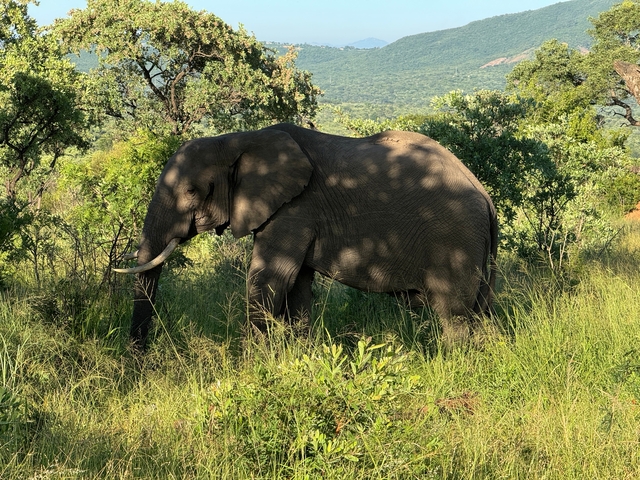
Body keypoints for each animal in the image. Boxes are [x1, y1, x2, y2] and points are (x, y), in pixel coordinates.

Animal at [115, 123, 498, 347]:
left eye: (192, 191)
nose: (139, 360)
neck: (239, 139)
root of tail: (485, 196)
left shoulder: (295, 209)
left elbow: (269, 280)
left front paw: (253, 367)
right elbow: (296, 287)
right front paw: (300, 355)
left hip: (454, 240)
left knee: (454, 316)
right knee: (481, 313)